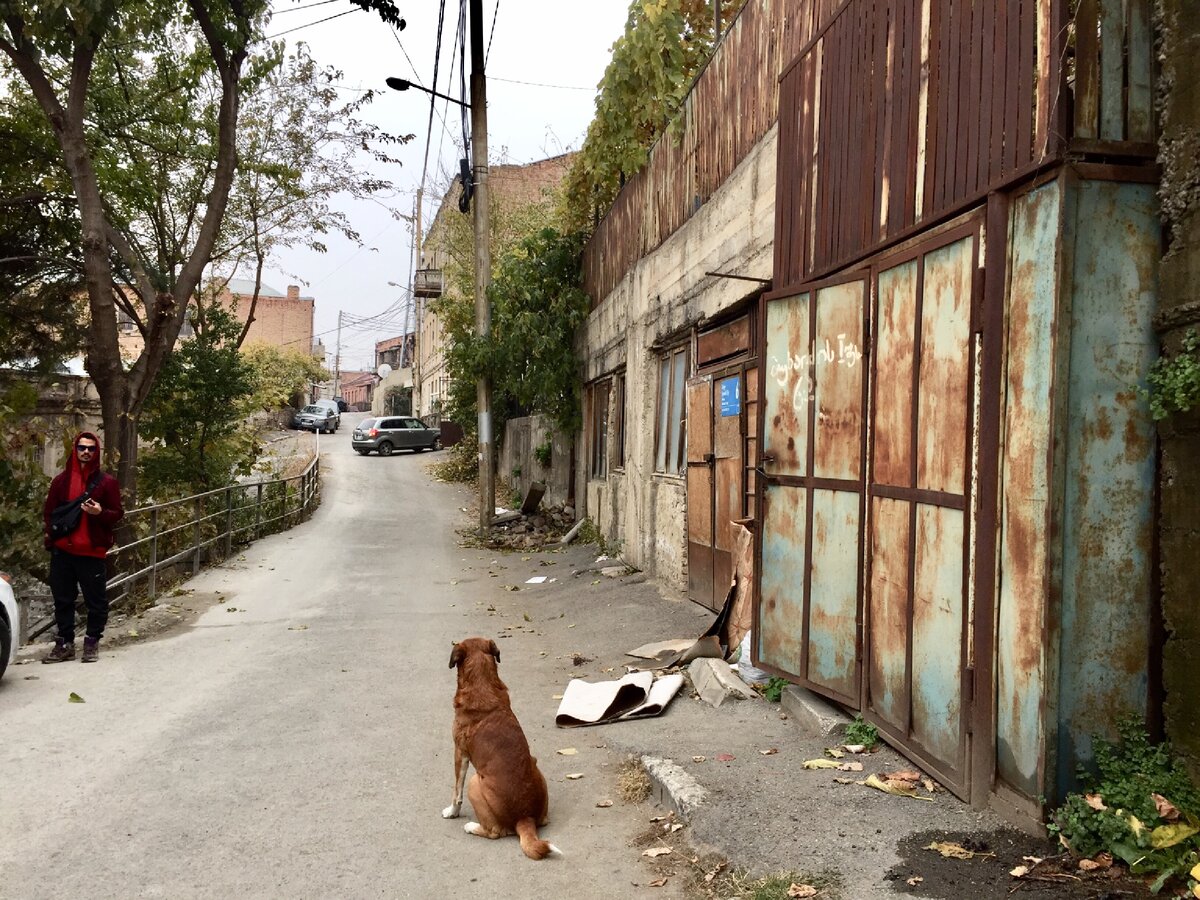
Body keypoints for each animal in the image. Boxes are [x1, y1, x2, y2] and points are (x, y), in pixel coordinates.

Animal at [441, 633, 561, 859]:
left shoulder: (459, 753)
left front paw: (452, 812)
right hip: (536, 766)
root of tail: (524, 817)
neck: (483, 683)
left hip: (475, 782)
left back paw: (471, 826)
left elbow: (456, 792)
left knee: (494, 832)